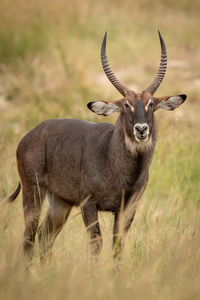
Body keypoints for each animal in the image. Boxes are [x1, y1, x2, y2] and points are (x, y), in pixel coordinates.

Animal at [7, 30, 186, 260]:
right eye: (126, 104)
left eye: (151, 103)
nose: (141, 129)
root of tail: (28, 136)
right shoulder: (89, 204)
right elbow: (96, 243)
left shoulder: (128, 208)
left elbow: (117, 245)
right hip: (33, 192)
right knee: (29, 238)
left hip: (60, 203)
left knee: (44, 237)